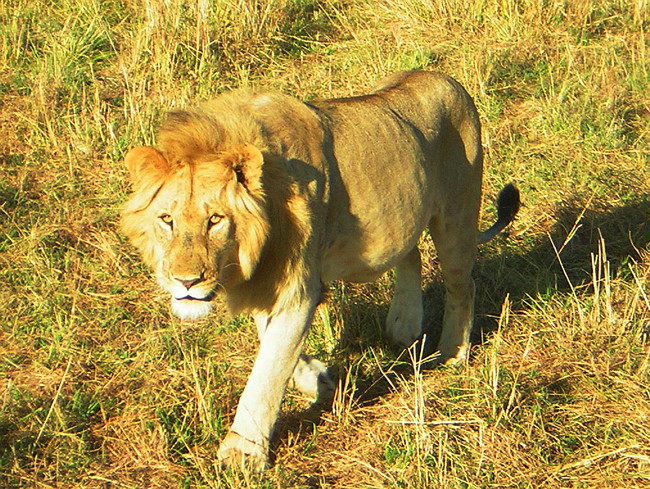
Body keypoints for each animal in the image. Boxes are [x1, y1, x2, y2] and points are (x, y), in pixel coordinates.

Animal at [119, 70, 520, 470]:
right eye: (166, 220)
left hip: (456, 218)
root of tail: (442, 77)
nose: (186, 282)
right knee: (411, 254)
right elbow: (274, 346)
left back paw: (452, 353)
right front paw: (318, 378)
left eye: (215, 220)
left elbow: (269, 367)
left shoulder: (297, 287)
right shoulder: (269, 283)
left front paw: (243, 451)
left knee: (462, 285)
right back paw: (403, 325)